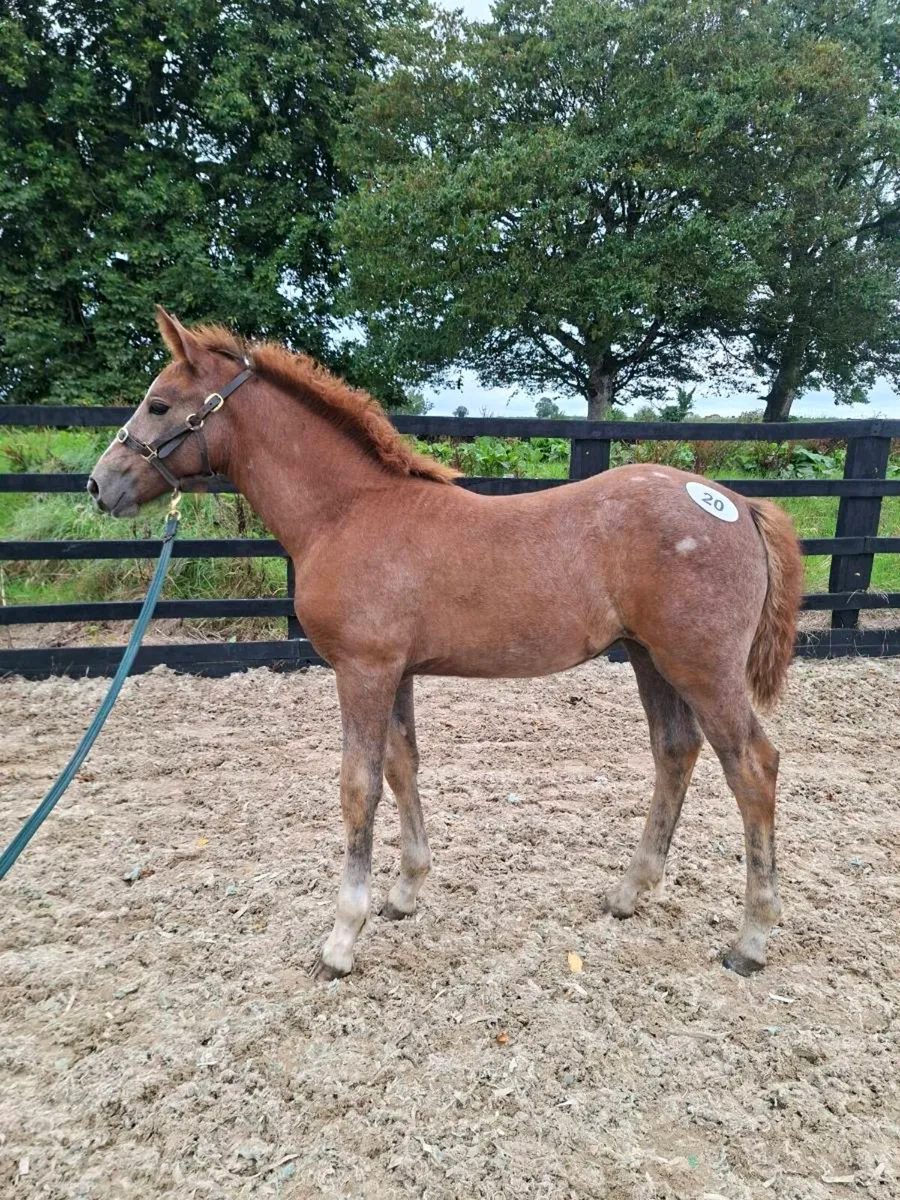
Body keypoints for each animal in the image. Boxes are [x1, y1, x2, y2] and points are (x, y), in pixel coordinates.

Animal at [88, 308, 804, 981]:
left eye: (159, 403)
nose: (99, 484)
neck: (347, 511)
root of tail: (737, 504)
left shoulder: (363, 670)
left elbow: (359, 787)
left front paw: (342, 940)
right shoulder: (395, 671)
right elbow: (402, 767)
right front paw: (404, 894)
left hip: (701, 668)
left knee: (753, 767)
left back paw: (752, 939)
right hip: (650, 657)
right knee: (675, 751)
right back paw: (629, 893)